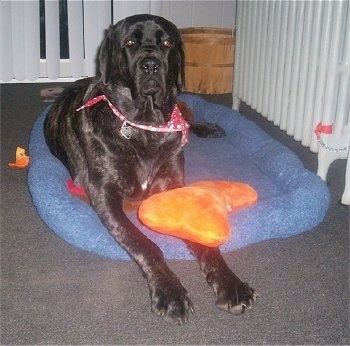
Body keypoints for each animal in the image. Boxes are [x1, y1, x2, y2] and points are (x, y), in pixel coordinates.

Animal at [44, 13, 258, 324]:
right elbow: (146, 244)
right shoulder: (105, 195)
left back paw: (207, 127)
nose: (151, 64)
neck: (144, 125)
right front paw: (169, 291)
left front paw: (231, 283)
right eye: (129, 43)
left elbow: (204, 239)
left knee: (186, 119)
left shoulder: (174, 186)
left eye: (167, 43)